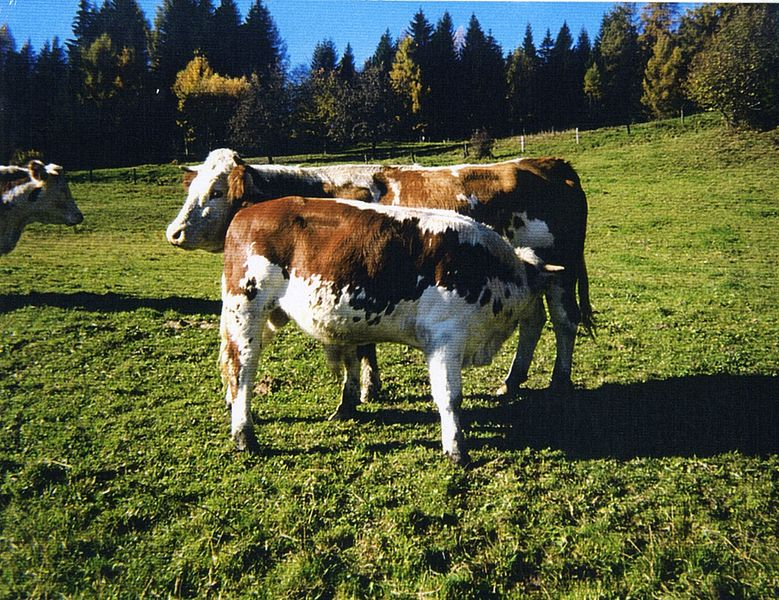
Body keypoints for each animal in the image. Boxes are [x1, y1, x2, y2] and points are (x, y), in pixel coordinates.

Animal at [166, 149, 593, 397]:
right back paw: (513, 379)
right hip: (534, 275)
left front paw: (367, 389)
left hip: (560, 273)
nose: (175, 232)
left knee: (564, 321)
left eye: (217, 191)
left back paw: (558, 379)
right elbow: (365, 343)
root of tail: (549, 165)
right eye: (191, 189)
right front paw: (370, 385)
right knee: (534, 321)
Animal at [220, 196, 562, 464]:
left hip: (265, 317)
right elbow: (449, 396)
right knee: (242, 369)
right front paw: (456, 449)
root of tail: (249, 212)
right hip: (245, 309)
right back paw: (244, 435)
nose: (539, 315)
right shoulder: (445, 339)